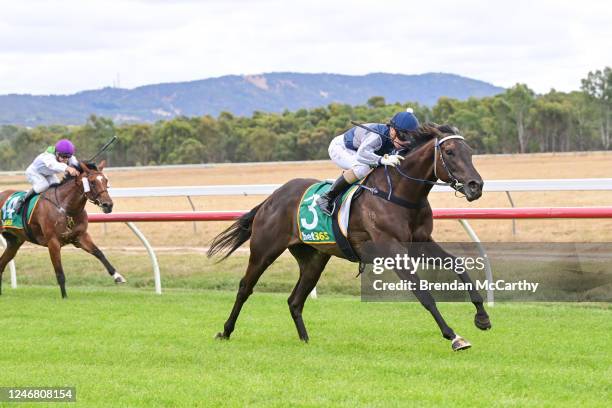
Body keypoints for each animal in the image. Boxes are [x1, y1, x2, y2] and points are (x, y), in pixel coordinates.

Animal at [0, 161, 125, 298]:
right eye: (92, 182)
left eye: (105, 180)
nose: (108, 205)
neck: (66, 208)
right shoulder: (53, 242)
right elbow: (59, 272)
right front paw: (64, 297)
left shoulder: (80, 237)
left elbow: (99, 253)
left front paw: (118, 276)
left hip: (14, 242)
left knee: (2, 264)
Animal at [210, 123, 492, 350]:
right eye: (450, 152)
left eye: (469, 152)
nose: (475, 186)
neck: (400, 194)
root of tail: (272, 197)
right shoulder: (392, 250)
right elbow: (423, 293)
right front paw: (454, 336)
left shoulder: (420, 243)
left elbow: (457, 264)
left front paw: (482, 317)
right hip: (264, 250)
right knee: (245, 287)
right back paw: (225, 331)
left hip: (314, 259)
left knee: (294, 300)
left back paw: (305, 340)